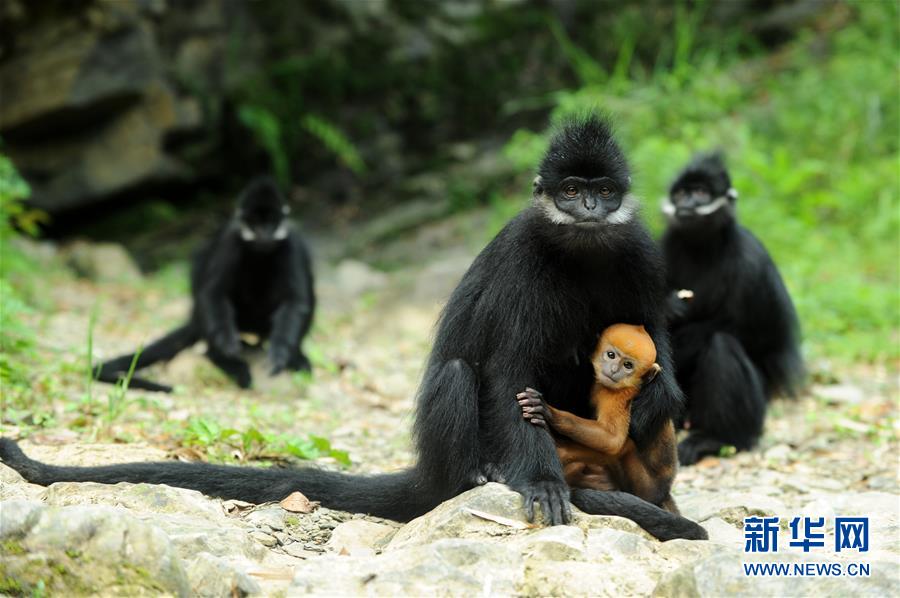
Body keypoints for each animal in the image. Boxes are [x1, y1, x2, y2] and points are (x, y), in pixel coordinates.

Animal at [95, 178, 316, 394]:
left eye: (271, 223)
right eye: (254, 223)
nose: (265, 234)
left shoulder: (292, 242)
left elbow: (297, 301)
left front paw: (281, 354)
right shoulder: (230, 239)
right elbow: (212, 293)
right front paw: (226, 351)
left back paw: (293, 355)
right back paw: (225, 360)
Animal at [516, 326, 680, 512]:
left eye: (628, 365)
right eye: (611, 355)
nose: (614, 370)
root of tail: (664, 491)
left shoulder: (617, 396)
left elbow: (613, 439)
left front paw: (549, 412)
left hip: (645, 486)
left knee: (624, 447)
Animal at [656, 152, 804, 466]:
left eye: (700, 193)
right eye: (681, 194)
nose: (686, 204)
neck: (701, 248)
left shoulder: (750, 260)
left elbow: (761, 339)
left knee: (722, 345)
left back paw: (715, 439)